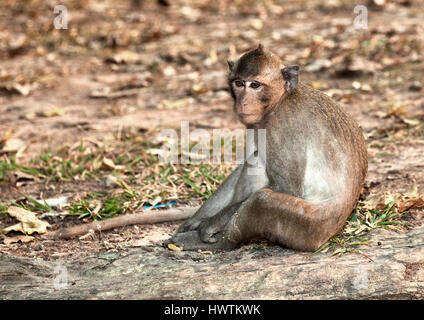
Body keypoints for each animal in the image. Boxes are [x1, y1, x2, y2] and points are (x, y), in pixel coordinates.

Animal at [166, 43, 368, 252]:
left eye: (255, 85)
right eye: (239, 83)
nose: (243, 102)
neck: (280, 100)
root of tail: (334, 229)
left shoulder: (282, 127)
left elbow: (287, 188)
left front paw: (211, 224)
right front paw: (197, 219)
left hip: (308, 227)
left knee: (260, 200)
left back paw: (221, 243)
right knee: (255, 162)